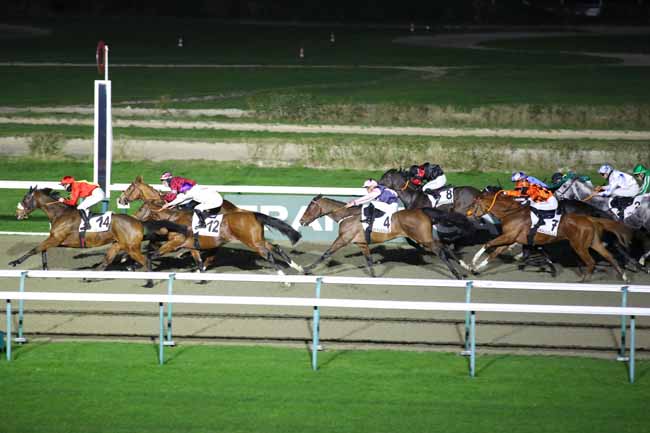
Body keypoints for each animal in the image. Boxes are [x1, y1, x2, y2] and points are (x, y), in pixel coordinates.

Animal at [8, 186, 185, 286]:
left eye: (25, 199)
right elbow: (42, 250)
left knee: (146, 261)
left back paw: (149, 282)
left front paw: (15, 262)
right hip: (117, 244)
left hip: (131, 248)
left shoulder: (56, 238)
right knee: (106, 261)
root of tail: (139, 222)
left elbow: (35, 249)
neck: (60, 213)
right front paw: (44, 269)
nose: (17, 213)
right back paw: (89, 277)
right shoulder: (58, 240)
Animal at [296, 194, 468, 278]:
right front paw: (373, 277)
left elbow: (326, 253)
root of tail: (422, 211)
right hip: (425, 237)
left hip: (422, 238)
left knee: (441, 251)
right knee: (444, 245)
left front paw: (306, 268)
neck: (347, 215)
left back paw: (457, 274)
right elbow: (369, 260)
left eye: (310, 208)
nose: (301, 220)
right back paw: (466, 267)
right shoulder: (362, 243)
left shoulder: (344, 238)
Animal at [464, 191, 632, 282]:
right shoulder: (510, 238)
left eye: (474, 204)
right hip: (593, 243)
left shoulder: (509, 236)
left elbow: (487, 244)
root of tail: (591, 219)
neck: (512, 213)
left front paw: (471, 264)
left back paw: (583, 281)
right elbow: (493, 253)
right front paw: (475, 268)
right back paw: (624, 277)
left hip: (579, 245)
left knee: (591, 262)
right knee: (609, 256)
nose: (468, 214)